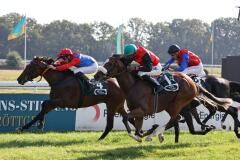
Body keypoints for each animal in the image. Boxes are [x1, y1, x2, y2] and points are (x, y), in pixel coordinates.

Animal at [93, 54, 232, 142]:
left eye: (111, 63)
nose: (96, 75)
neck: (133, 85)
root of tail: (193, 82)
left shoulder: (142, 110)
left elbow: (126, 117)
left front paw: (139, 135)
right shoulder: (138, 113)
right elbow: (135, 125)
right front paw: (141, 134)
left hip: (178, 102)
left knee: (175, 119)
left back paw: (156, 134)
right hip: (173, 105)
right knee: (179, 119)